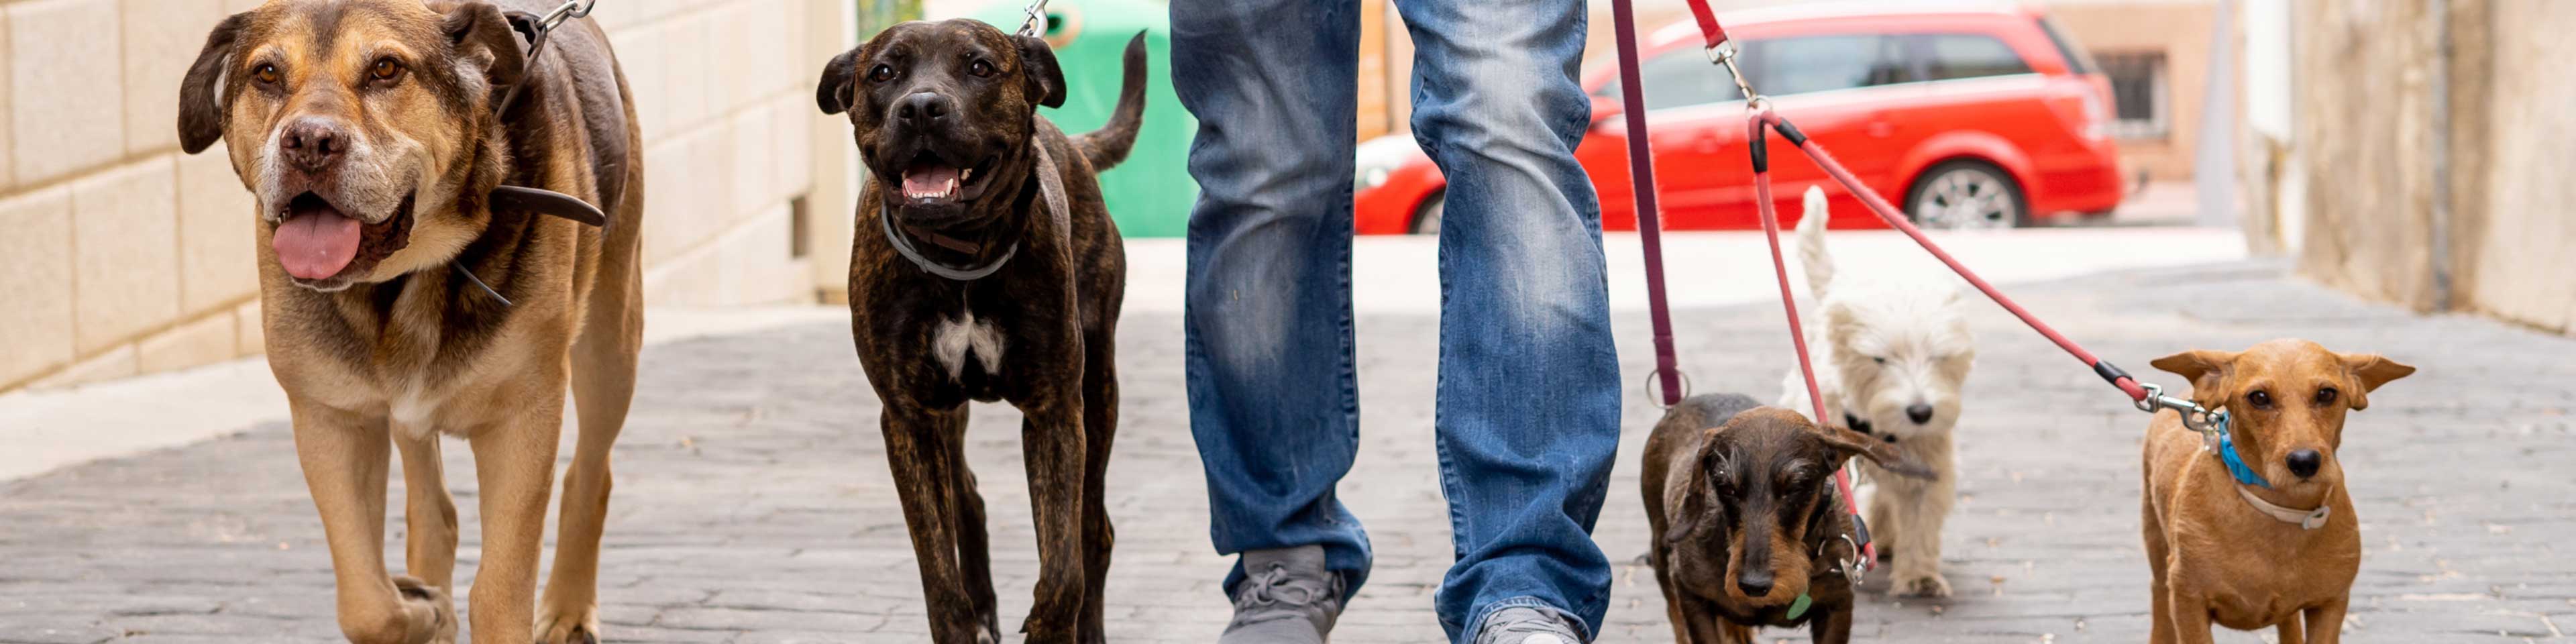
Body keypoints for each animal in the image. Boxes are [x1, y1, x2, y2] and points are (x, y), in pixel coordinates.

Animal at [177, 2, 639, 641]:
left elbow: (498, 592)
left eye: (386, 69)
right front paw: (423, 607)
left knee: (591, 474)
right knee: (433, 506)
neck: (403, 278)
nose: (309, 143)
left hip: (610, 348)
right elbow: (366, 603)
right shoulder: (330, 417)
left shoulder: (524, 418)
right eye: (266, 74)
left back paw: (569, 609)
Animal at [819, 19, 1143, 644]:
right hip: (948, 416)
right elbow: (940, 578)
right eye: (884, 72)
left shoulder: (1055, 414)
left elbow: (1062, 565)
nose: (921, 108)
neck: (962, 256)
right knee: (967, 496)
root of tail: (1073, 144)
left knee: (1095, 530)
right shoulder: (909, 420)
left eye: (980, 67)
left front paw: (1050, 624)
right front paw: (962, 613)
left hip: (1099, 392)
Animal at [2143, 339, 2400, 641]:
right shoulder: (2188, 600)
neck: (2280, 512)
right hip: (2158, 557)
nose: (2305, 461)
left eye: (2327, 394)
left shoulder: (2330, 604)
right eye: (2259, 397)